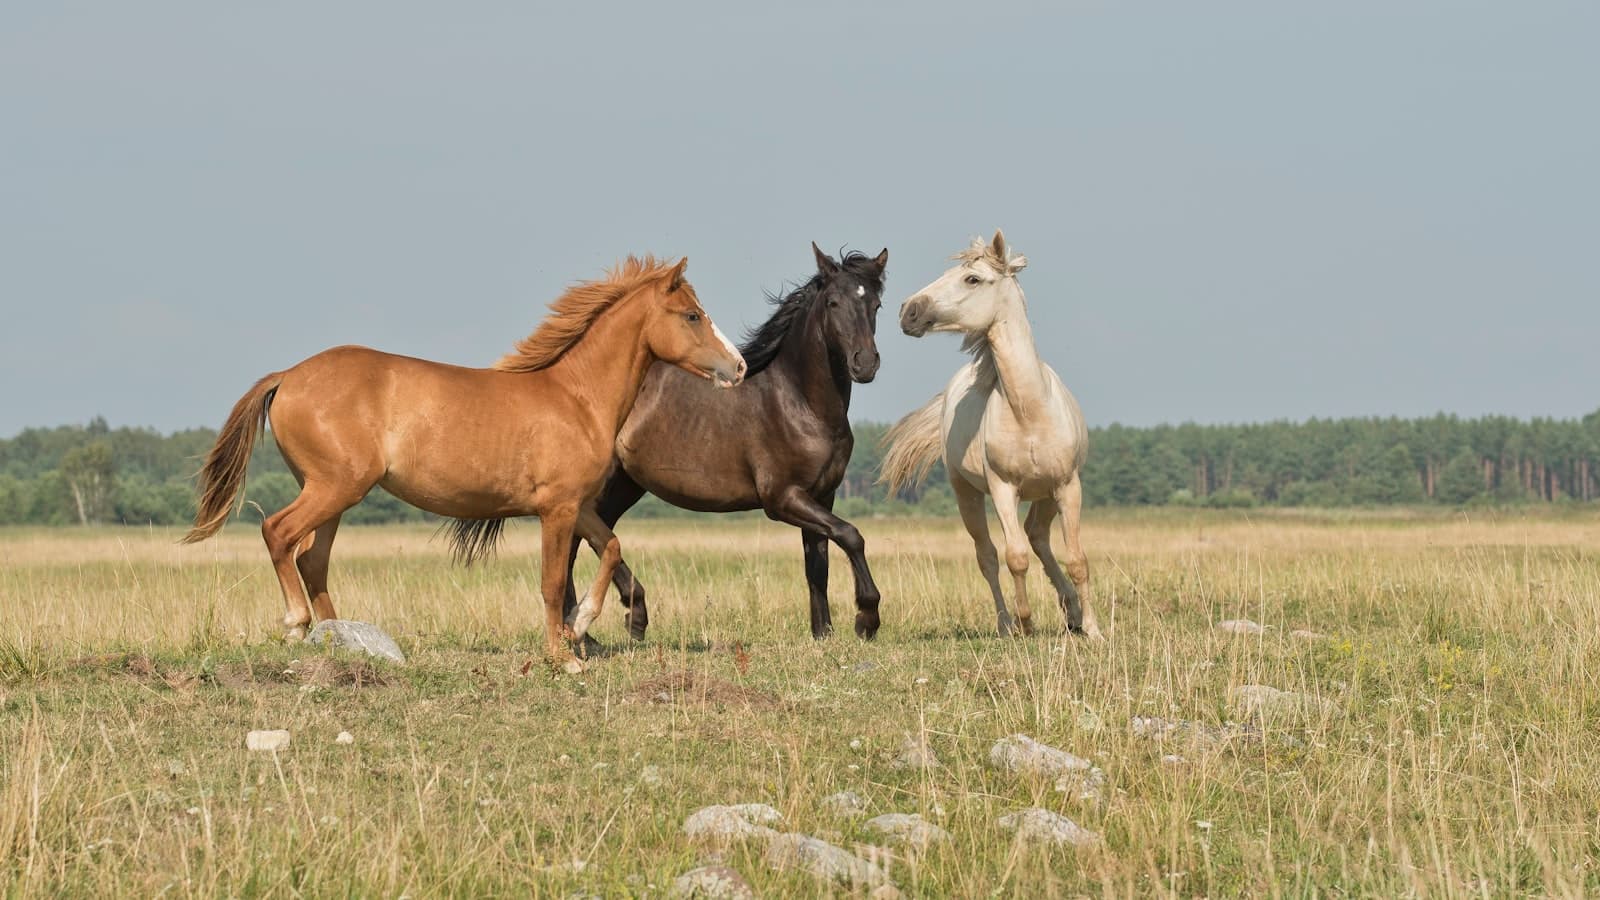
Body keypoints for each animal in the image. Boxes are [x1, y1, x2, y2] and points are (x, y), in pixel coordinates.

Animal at [182, 256, 747, 670]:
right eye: (692, 315)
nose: (738, 367)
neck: (576, 398)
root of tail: (288, 375)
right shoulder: (557, 510)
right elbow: (551, 581)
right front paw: (562, 656)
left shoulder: (578, 506)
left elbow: (610, 548)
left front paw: (581, 625)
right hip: (334, 488)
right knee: (278, 533)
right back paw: (298, 625)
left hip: (334, 495)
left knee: (311, 559)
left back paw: (340, 638)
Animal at [562, 243, 887, 642]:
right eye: (833, 303)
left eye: (876, 304)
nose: (865, 363)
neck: (800, 403)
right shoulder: (783, 498)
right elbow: (851, 535)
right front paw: (866, 618)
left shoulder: (822, 495)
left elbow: (818, 564)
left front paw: (822, 633)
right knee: (578, 538)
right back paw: (599, 624)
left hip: (625, 484)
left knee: (591, 537)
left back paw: (606, 624)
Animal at [881, 231, 1103, 639]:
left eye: (972, 279)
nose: (909, 311)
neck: (1029, 411)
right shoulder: (1003, 489)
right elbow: (1014, 558)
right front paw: (1026, 623)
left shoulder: (1068, 486)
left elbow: (1077, 559)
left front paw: (1093, 630)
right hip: (966, 493)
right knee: (988, 555)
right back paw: (1006, 624)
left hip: (1046, 494)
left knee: (1038, 536)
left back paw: (1072, 612)